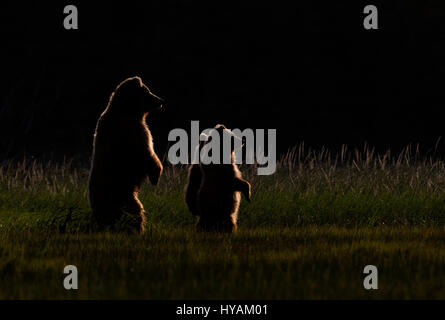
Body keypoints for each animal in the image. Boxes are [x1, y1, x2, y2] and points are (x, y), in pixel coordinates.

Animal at [88, 76, 163, 234]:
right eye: (148, 91)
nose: (161, 100)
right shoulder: (133, 131)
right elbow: (147, 153)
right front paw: (156, 176)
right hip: (121, 196)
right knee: (135, 212)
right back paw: (136, 229)